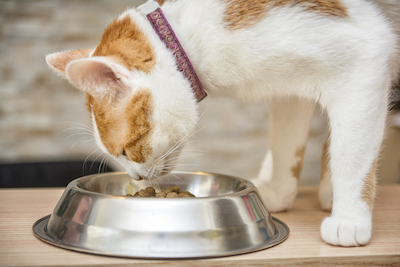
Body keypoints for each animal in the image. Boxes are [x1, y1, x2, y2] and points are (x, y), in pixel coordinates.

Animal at [45, 0, 400, 248]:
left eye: (125, 151)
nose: (136, 178)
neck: (188, 39)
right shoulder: (291, 89)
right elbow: (286, 144)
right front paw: (280, 193)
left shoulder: (367, 52)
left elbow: (352, 156)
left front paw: (350, 218)